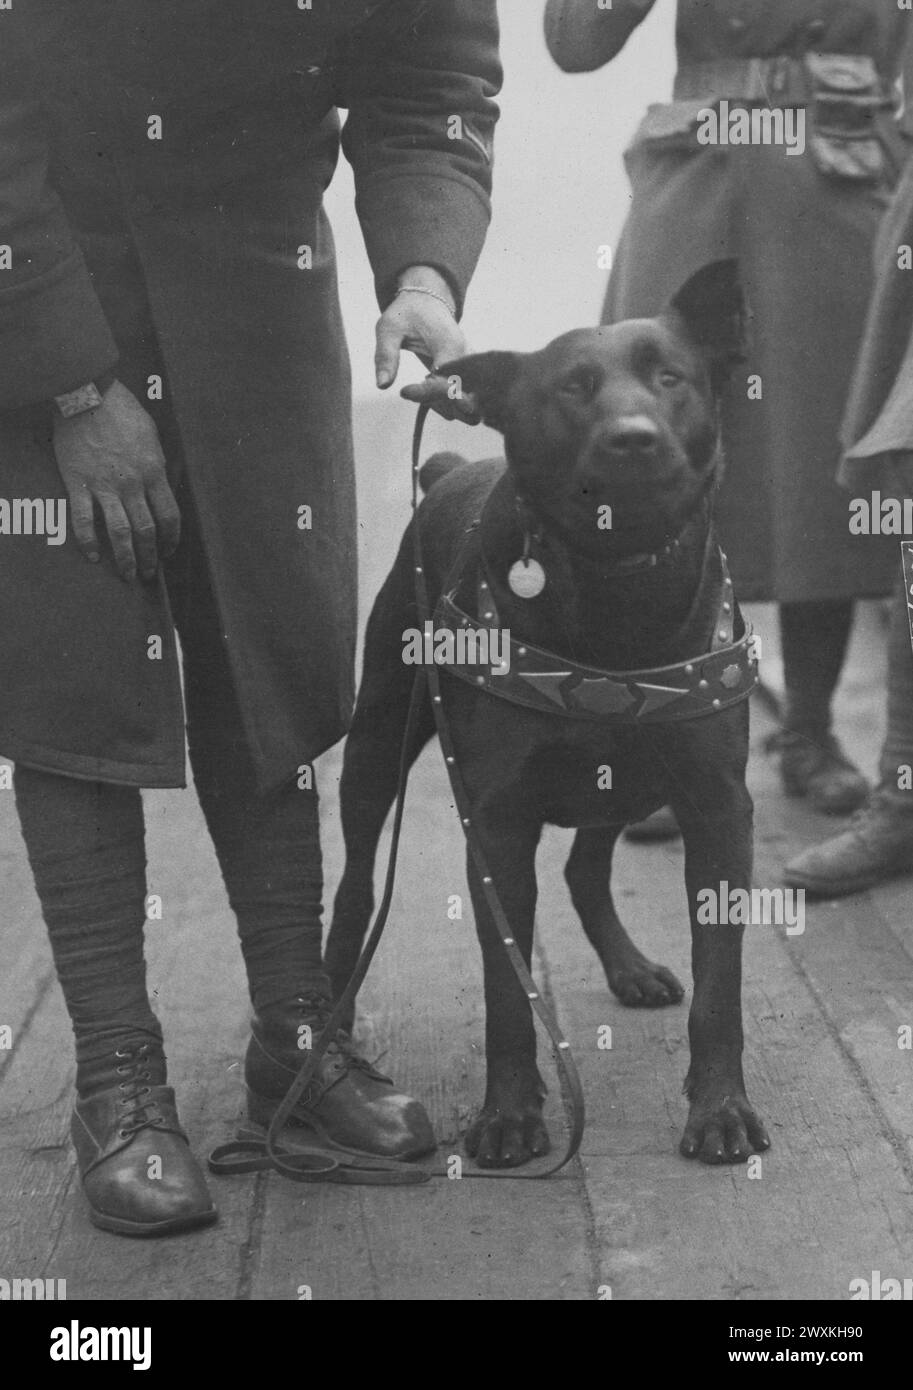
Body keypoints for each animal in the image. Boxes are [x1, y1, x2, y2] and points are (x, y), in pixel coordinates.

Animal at [327, 262, 767, 1173]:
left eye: (670, 377)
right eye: (572, 388)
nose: (632, 437)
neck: (613, 583)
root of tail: (446, 469)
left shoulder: (716, 809)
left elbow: (719, 990)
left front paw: (720, 1110)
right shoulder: (495, 823)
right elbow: (505, 993)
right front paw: (507, 1116)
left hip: (625, 779)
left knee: (584, 868)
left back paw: (630, 968)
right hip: (376, 746)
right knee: (353, 889)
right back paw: (331, 1023)